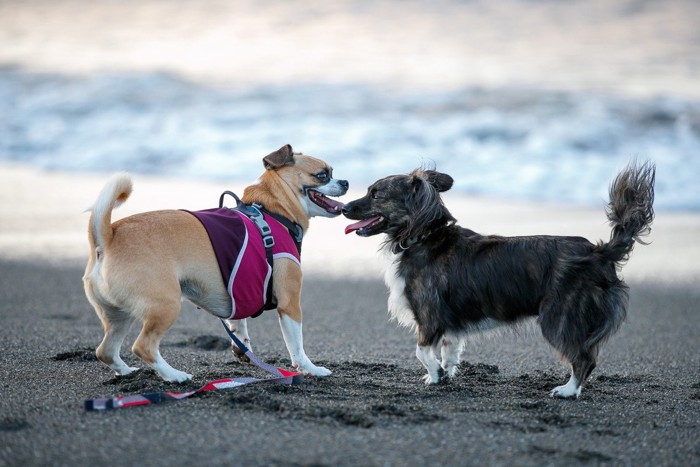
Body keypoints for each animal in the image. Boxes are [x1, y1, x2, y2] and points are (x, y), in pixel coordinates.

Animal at [83, 144, 346, 382]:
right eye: (323, 175)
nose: (345, 182)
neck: (271, 211)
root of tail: (108, 236)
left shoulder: (240, 289)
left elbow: (239, 326)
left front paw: (243, 350)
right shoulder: (290, 303)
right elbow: (297, 345)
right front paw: (310, 368)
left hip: (119, 316)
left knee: (105, 351)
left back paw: (127, 372)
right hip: (165, 306)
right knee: (143, 346)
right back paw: (174, 376)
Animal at [344, 162, 656, 398]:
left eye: (375, 194)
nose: (345, 207)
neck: (423, 236)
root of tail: (599, 252)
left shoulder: (429, 315)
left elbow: (421, 352)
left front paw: (435, 375)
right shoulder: (449, 324)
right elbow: (449, 350)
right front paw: (443, 376)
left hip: (558, 318)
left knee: (584, 359)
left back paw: (568, 391)